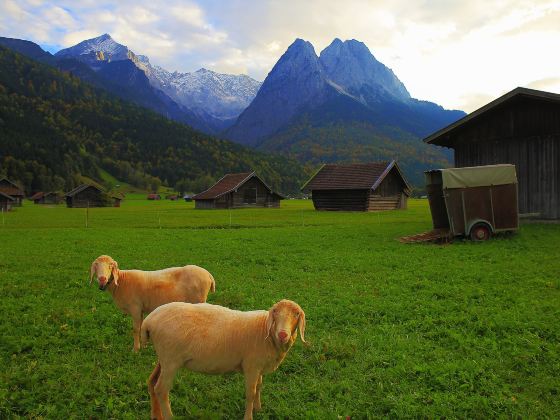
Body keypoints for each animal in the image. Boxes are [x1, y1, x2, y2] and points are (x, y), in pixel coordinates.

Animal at [89, 256, 217, 352]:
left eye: (111, 265)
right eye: (96, 265)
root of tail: (208, 275)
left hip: (199, 300)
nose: (102, 279)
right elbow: (141, 326)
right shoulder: (140, 309)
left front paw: (136, 349)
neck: (121, 282)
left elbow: (135, 328)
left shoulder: (135, 307)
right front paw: (143, 345)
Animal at [140, 298, 306, 420]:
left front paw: (258, 408)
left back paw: (156, 415)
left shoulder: (258, 366)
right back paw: (169, 416)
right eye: (275, 312)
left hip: (164, 358)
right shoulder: (251, 366)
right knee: (161, 389)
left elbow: (259, 386)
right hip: (171, 360)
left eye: (297, 314)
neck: (266, 332)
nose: (283, 334)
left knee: (152, 382)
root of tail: (149, 321)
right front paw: (249, 416)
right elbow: (250, 393)